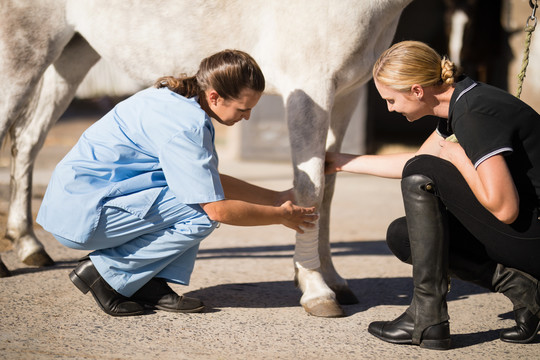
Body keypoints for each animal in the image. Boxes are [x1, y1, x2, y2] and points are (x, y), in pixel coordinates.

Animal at [0, 0, 412, 316]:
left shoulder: (346, 94)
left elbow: (327, 189)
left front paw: (333, 280)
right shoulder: (310, 89)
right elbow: (310, 189)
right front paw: (315, 290)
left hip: (72, 55)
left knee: (28, 140)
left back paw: (29, 244)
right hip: (24, 52)